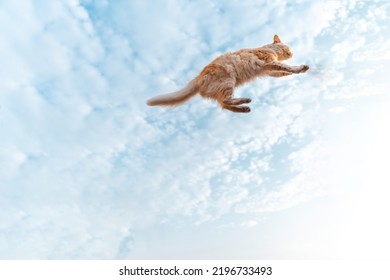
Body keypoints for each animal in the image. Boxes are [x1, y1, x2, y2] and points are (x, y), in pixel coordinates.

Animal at [146, 35, 308, 112]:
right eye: (287, 46)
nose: (292, 52)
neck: (268, 48)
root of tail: (197, 78)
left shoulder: (270, 71)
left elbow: (283, 72)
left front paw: (298, 71)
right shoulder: (269, 63)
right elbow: (286, 67)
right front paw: (299, 68)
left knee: (223, 105)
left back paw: (244, 109)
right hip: (228, 82)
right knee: (225, 101)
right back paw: (245, 100)